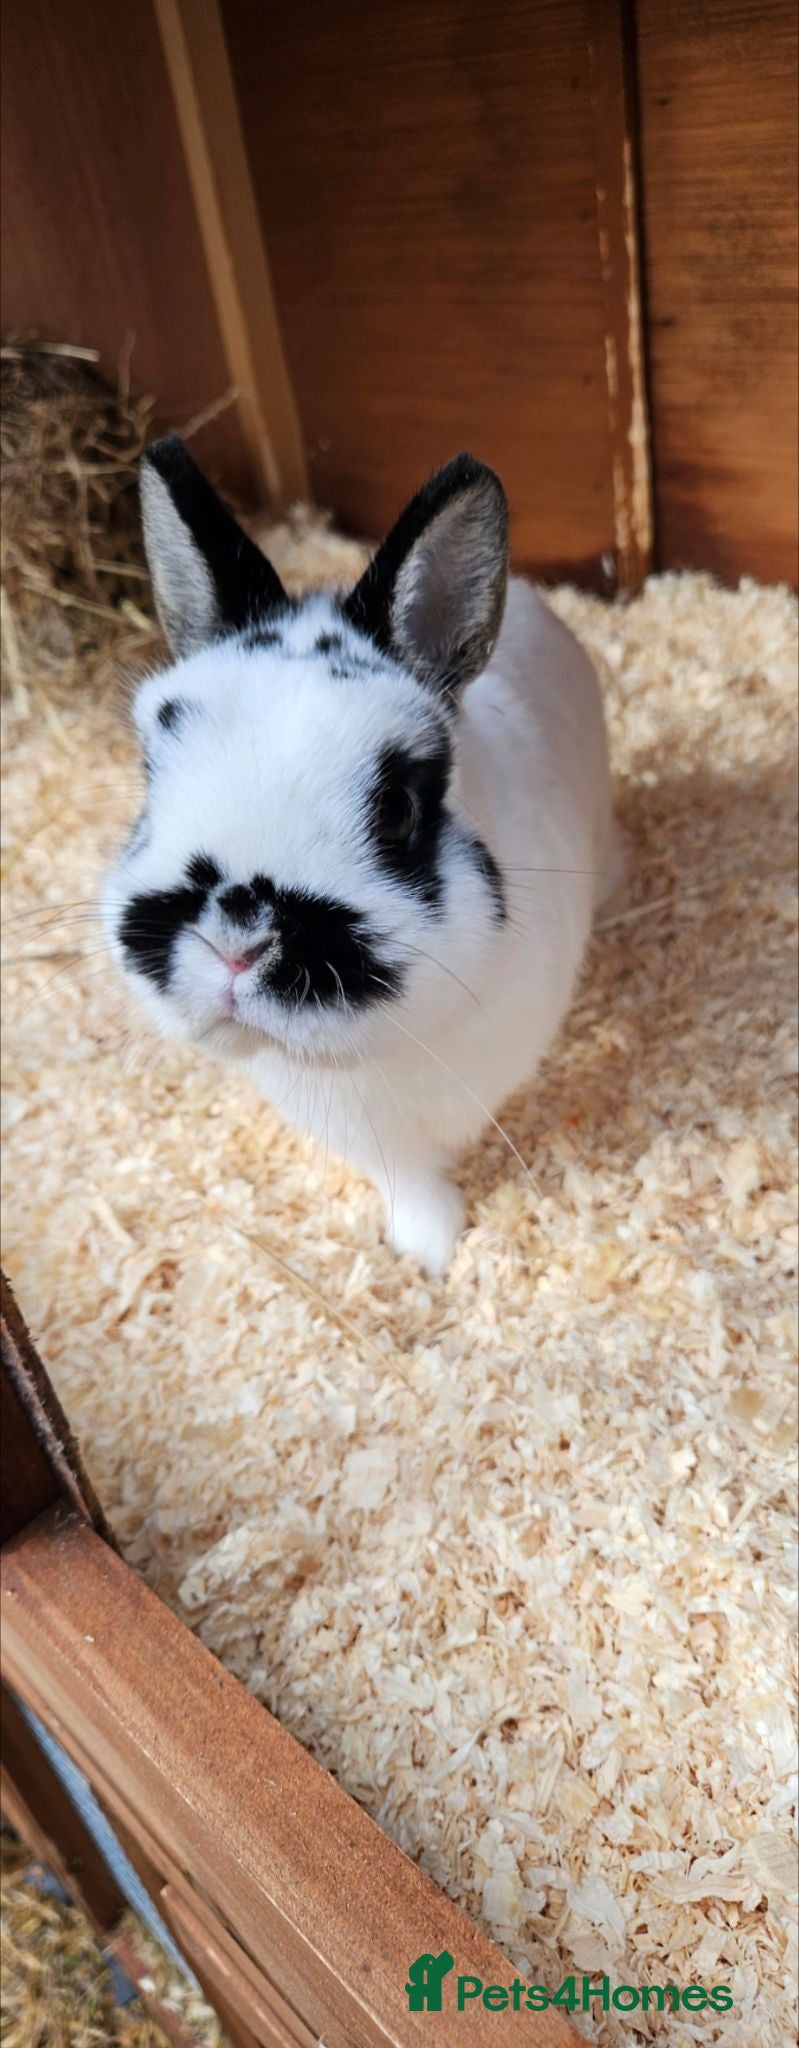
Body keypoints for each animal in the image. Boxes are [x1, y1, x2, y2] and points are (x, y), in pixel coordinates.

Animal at [104, 436, 620, 1274]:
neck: (379, 1045)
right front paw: (427, 1248)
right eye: (152, 770)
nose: (234, 945)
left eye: (397, 806)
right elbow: (405, 1176)